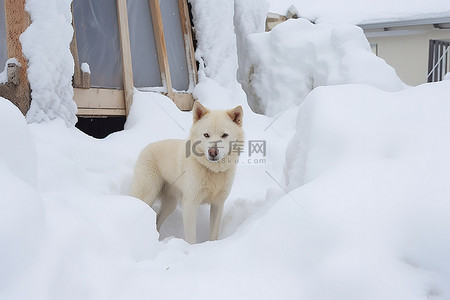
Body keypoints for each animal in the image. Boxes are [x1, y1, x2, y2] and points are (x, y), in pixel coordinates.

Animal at [131, 102, 243, 243]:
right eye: (206, 135)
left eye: (224, 135)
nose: (212, 152)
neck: (212, 171)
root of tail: (146, 147)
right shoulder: (190, 204)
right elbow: (191, 238)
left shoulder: (218, 204)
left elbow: (213, 235)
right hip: (147, 194)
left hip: (170, 204)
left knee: (157, 219)